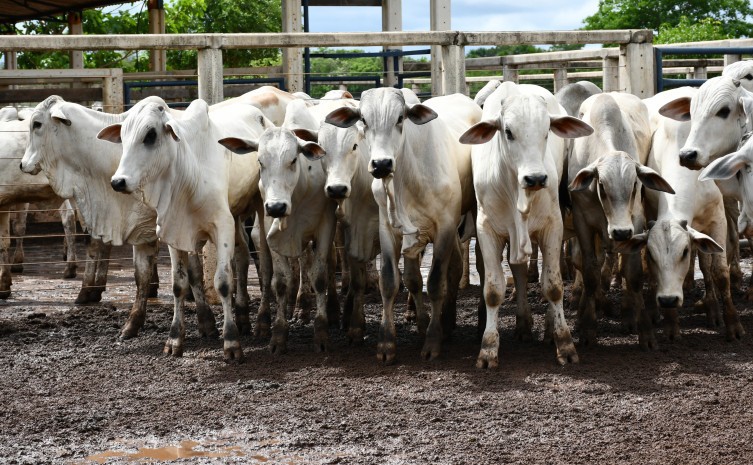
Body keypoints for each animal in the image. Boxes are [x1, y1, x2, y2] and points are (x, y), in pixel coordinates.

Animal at [95, 97, 268, 358]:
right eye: (123, 136)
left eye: (150, 135)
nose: (118, 181)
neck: (188, 173)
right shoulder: (174, 232)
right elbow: (179, 284)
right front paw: (175, 339)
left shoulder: (222, 225)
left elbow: (223, 282)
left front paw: (231, 342)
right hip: (236, 214)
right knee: (242, 255)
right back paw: (243, 317)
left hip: (259, 209)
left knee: (265, 261)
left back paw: (262, 321)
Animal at [324, 88, 478, 362]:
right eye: (363, 119)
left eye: (399, 118)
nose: (381, 164)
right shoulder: (388, 229)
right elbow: (390, 281)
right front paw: (386, 343)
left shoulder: (445, 227)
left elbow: (435, 282)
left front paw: (432, 341)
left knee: (456, 270)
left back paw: (447, 323)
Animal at [456, 81, 592, 368]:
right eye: (508, 132)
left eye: (546, 131)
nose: (536, 178)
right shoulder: (486, 231)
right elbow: (493, 289)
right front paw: (488, 348)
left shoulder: (553, 226)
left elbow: (553, 286)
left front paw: (564, 344)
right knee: (518, 273)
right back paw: (523, 323)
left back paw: (548, 330)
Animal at [568, 91, 672, 344]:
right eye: (602, 186)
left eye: (634, 185)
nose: (621, 232)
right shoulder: (582, 220)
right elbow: (590, 272)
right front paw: (587, 327)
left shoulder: (635, 220)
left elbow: (633, 274)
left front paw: (644, 329)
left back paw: (627, 314)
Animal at [616, 88, 748, 348]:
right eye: (653, 255)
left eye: (684, 252)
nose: (668, 300)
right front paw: (670, 325)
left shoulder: (716, 220)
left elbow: (719, 272)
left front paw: (733, 325)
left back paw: (711, 307)